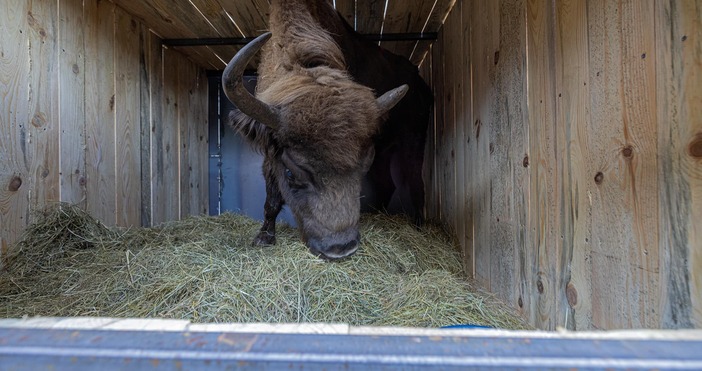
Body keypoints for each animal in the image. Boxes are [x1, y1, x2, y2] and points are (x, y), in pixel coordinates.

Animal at [226, 0, 434, 260]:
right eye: (291, 173)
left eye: (360, 168)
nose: (341, 248)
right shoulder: (270, 147)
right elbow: (271, 197)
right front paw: (263, 238)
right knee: (388, 183)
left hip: (413, 143)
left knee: (416, 184)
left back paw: (418, 227)